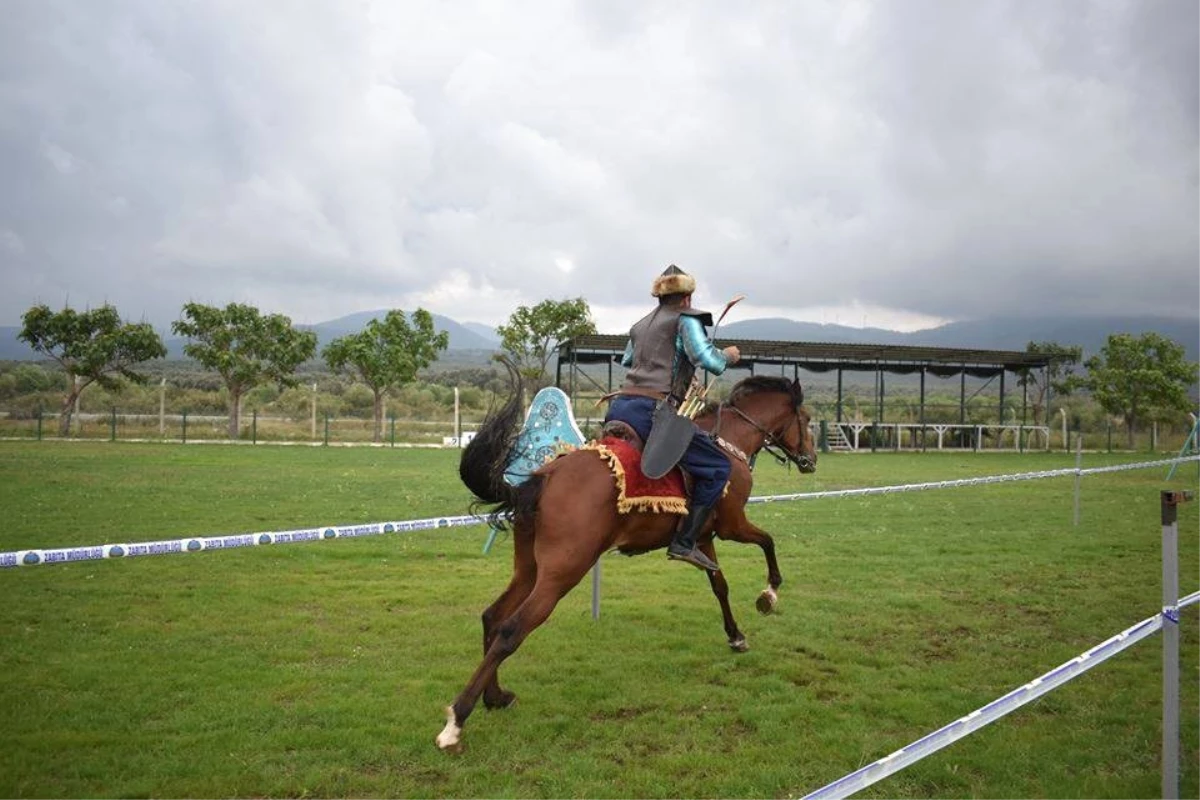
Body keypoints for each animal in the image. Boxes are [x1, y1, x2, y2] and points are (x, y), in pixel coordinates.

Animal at [436, 369, 820, 753]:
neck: (728, 442)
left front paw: (736, 635)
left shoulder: (701, 538)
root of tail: (545, 477)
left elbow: (720, 586)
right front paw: (769, 595)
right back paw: (456, 720)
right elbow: (768, 542)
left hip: (529, 569)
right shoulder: (733, 526)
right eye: (806, 419)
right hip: (562, 573)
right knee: (511, 630)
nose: (811, 459)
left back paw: (495, 697)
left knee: (493, 617)